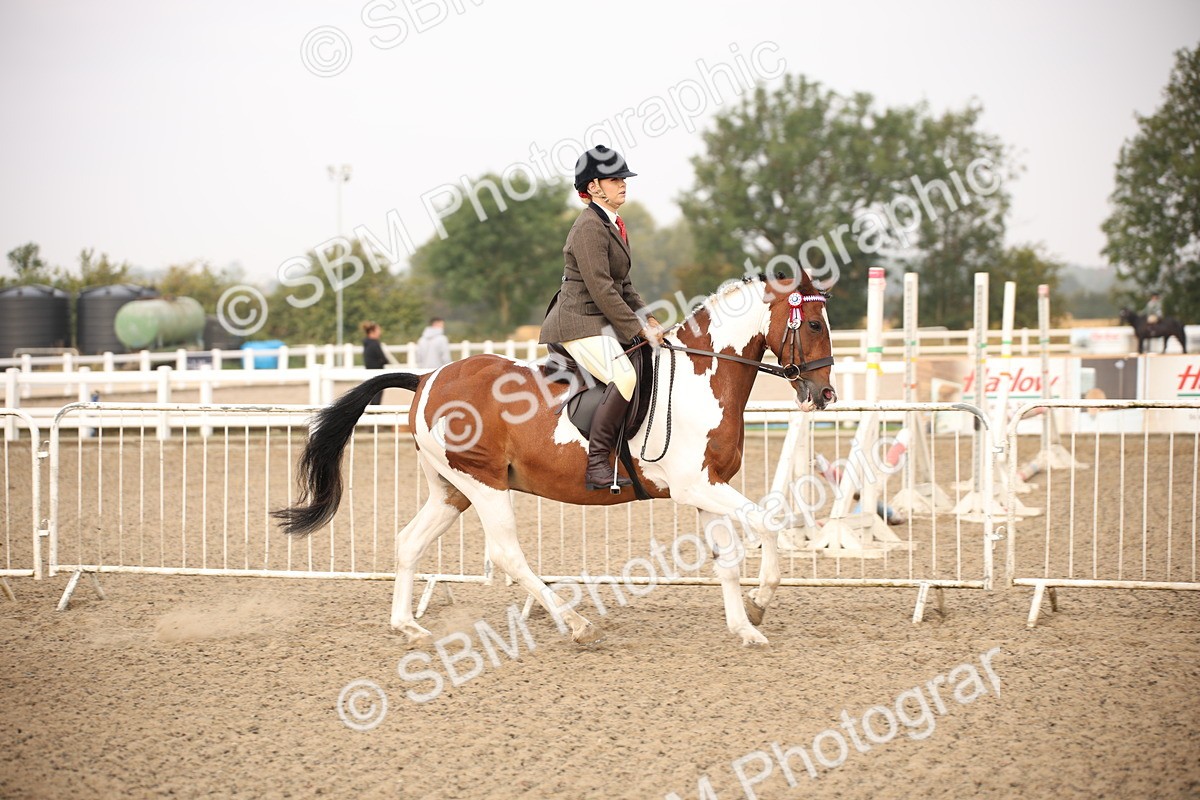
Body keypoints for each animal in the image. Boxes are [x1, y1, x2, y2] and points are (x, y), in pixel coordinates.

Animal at [273, 272, 837, 647]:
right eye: (812, 323)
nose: (825, 395)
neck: (703, 378)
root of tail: (427, 378)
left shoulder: (707, 487)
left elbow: (728, 558)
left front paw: (746, 625)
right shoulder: (695, 485)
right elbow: (768, 520)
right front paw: (762, 602)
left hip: (452, 490)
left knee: (409, 542)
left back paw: (408, 625)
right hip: (483, 485)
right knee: (507, 555)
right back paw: (576, 623)